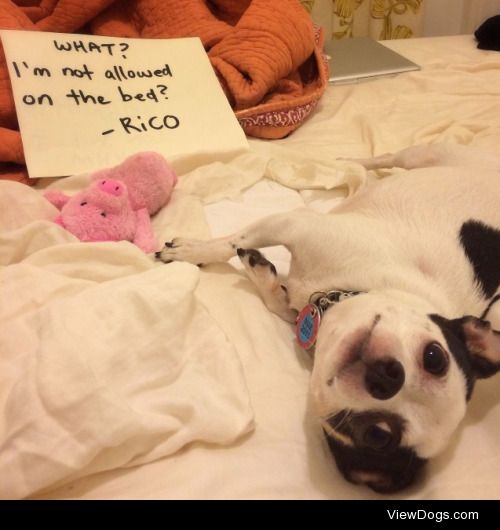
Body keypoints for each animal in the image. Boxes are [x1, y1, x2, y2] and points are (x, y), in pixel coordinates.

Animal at [156, 143, 500, 490]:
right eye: (435, 357)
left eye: (378, 436)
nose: (388, 377)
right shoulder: (293, 225)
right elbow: (232, 243)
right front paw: (194, 252)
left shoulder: (300, 275)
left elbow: (270, 289)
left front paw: (251, 269)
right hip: (430, 154)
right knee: (389, 158)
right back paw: (349, 163)